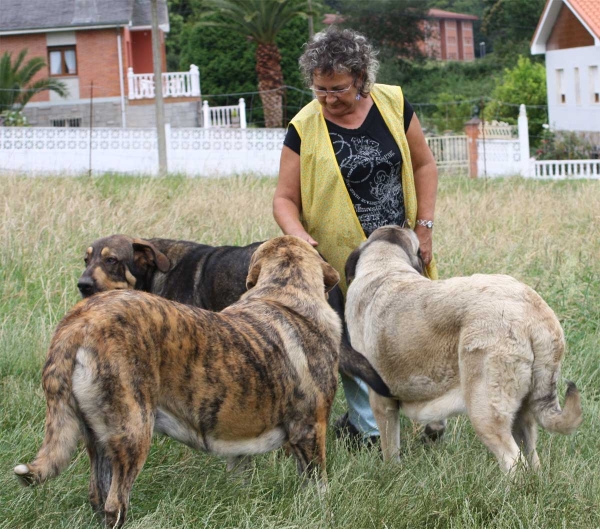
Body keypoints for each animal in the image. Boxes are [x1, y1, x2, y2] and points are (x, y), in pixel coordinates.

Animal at [14, 236, 342, 528]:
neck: (284, 293)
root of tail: (81, 321)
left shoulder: (240, 439)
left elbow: (241, 476)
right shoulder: (310, 430)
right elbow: (318, 484)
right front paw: (321, 511)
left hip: (98, 440)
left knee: (98, 496)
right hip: (134, 431)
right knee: (115, 503)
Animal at [344, 225, 584, 472]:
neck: (385, 266)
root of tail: (534, 310)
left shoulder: (381, 401)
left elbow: (390, 446)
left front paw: (391, 471)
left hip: (484, 411)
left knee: (513, 461)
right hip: (522, 412)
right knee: (532, 460)